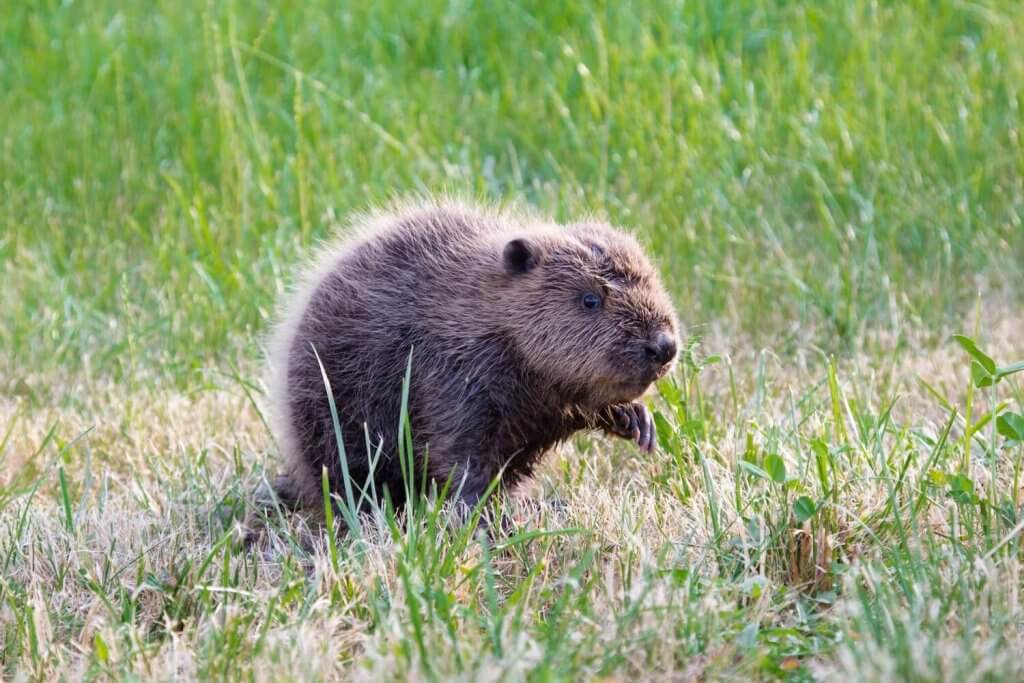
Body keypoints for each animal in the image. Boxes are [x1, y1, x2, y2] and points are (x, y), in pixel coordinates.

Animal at [268, 197, 675, 518]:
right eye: (590, 299)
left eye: (652, 280)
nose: (664, 345)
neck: (486, 311)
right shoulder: (453, 371)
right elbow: (462, 450)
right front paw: (480, 517)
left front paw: (638, 421)